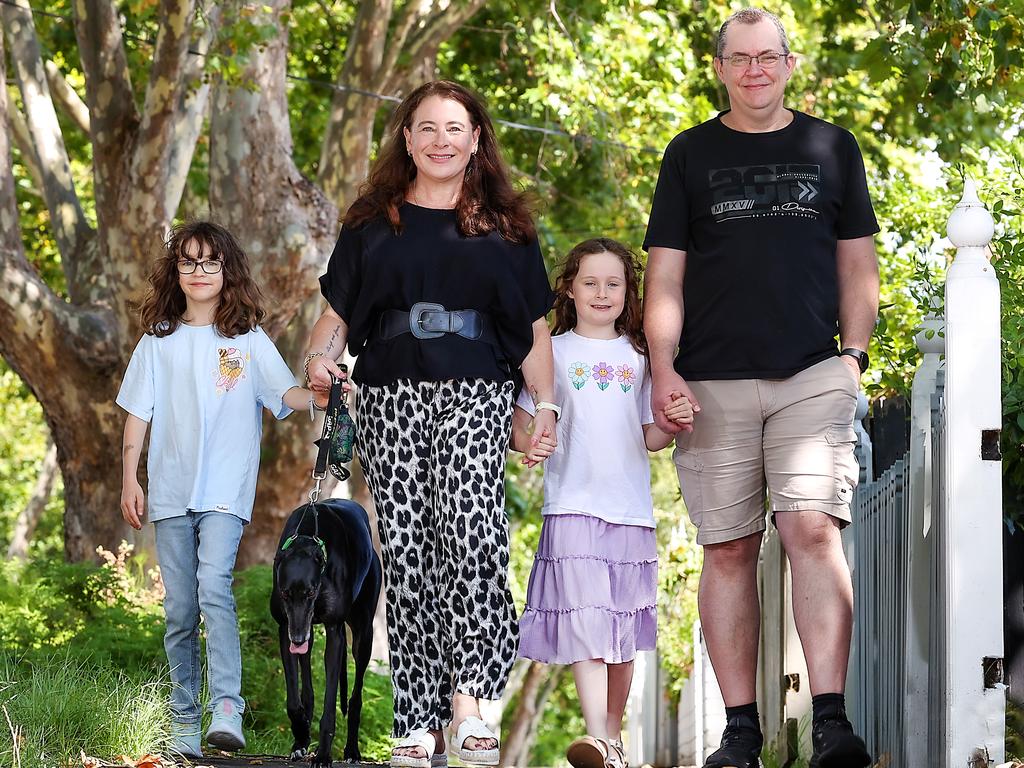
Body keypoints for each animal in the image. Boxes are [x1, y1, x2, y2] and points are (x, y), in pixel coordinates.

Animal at [270, 499, 382, 765]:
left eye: (311, 592)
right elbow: (293, 701)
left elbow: (330, 706)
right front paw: (301, 734)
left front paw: (322, 755)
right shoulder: (285, 628)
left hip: (363, 636)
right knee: (307, 690)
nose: (297, 638)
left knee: (355, 698)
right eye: (285, 593)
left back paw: (351, 751)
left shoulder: (334, 633)